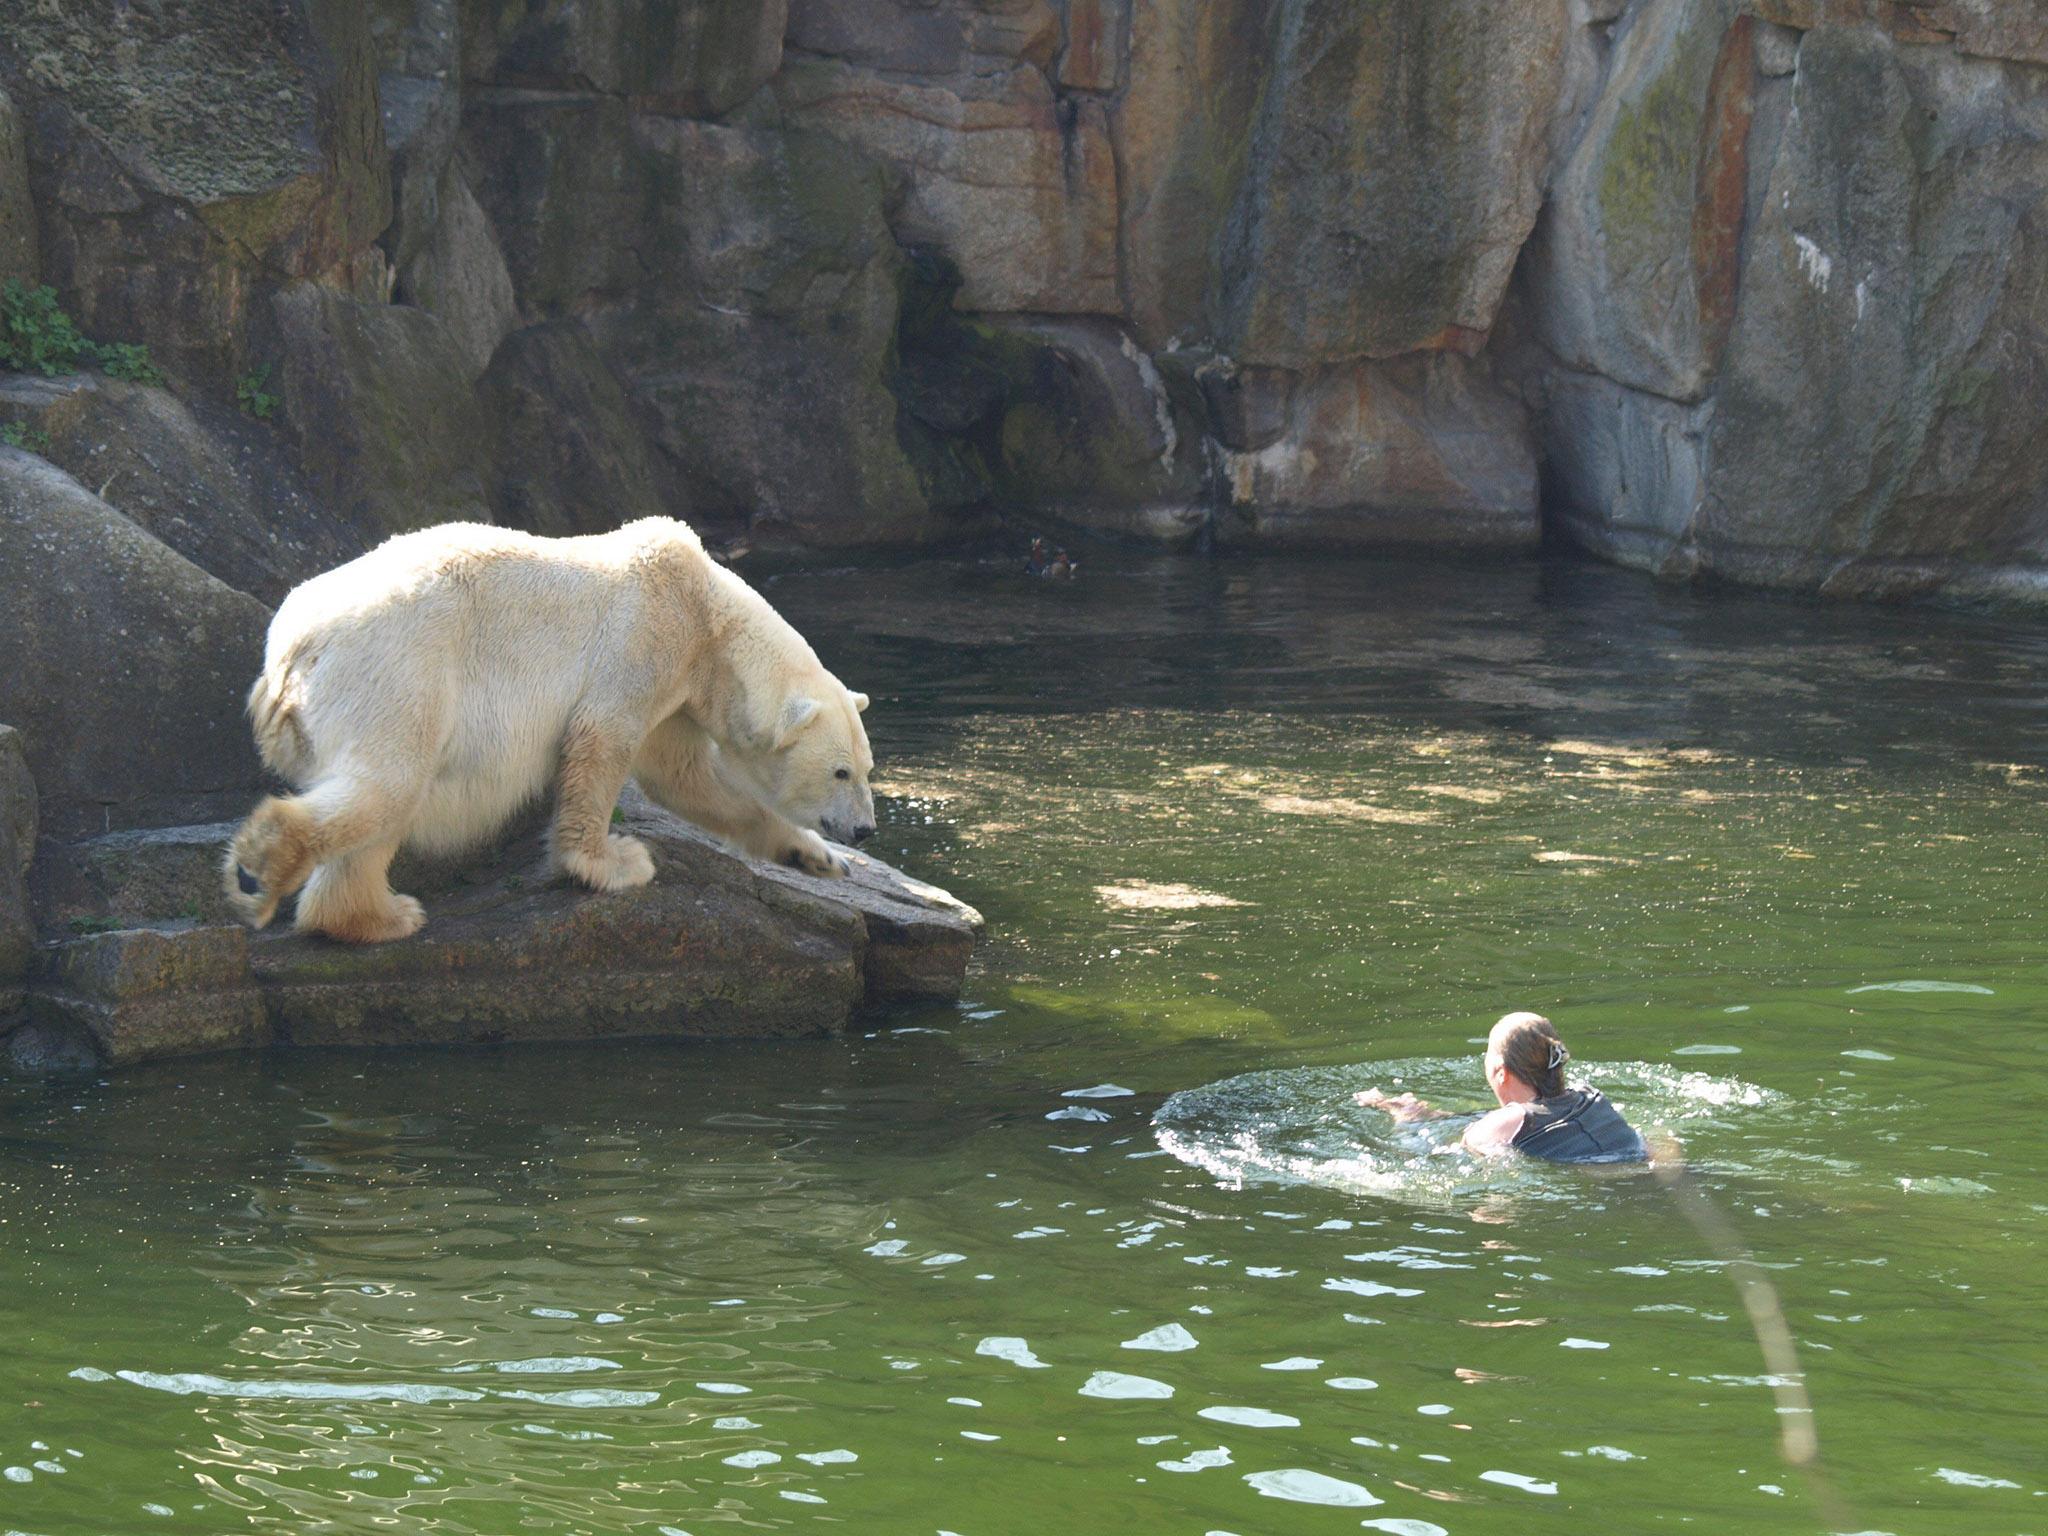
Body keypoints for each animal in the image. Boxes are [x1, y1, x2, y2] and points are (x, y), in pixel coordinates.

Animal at [226, 518, 880, 946]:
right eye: (840, 771)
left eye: (867, 770)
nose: (866, 830)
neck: (708, 616)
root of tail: (289, 652)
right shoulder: (644, 641)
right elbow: (601, 743)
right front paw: (611, 863)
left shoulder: (678, 692)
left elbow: (689, 781)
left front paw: (819, 858)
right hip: (396, 672)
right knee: (390, 784)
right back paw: (264, 868)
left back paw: (374, 916)